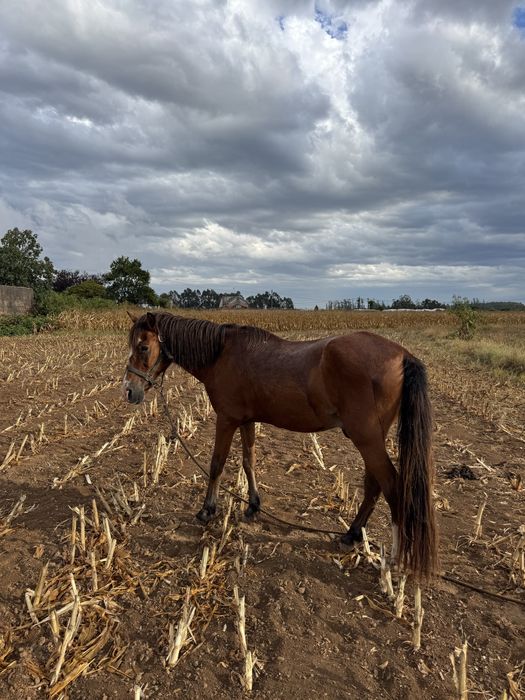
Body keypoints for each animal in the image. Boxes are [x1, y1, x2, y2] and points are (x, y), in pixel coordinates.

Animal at [123, 311, 437, 580]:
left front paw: (207, 510)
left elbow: (217, 464)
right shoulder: (246, 420)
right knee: (374, 485)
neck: (222, 354)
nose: (129, 390)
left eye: (143, 347)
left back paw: (394, 562)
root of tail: (403, 355)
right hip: (372, 439)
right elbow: (248, 461)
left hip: (367, 439)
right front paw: (252, 506)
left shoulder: (226, 419)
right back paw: (351, 535)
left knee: (392, 486)